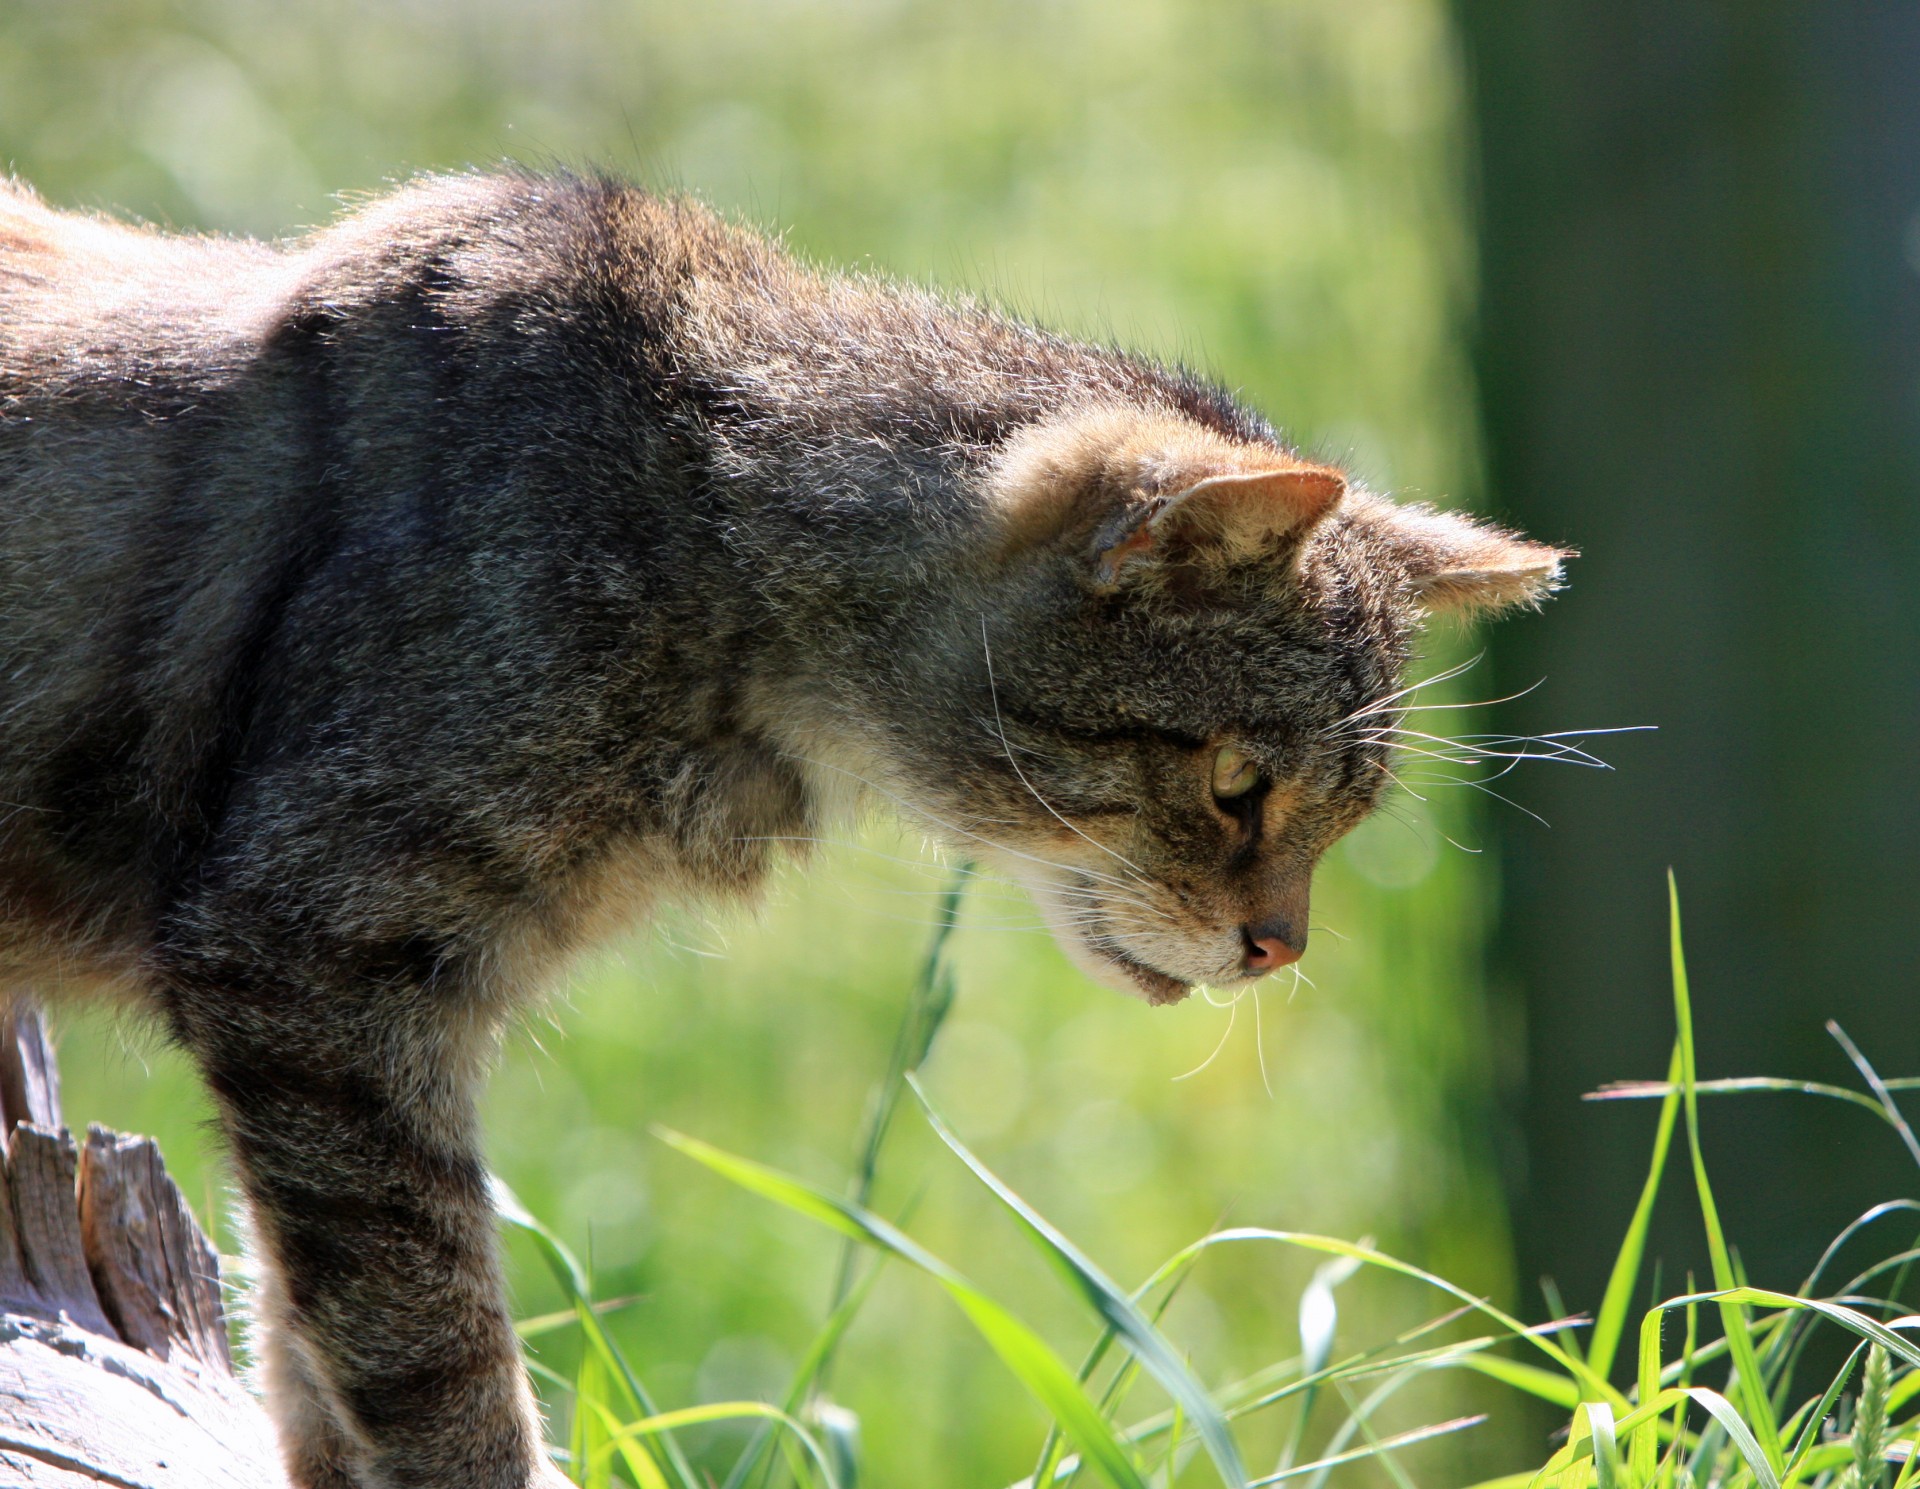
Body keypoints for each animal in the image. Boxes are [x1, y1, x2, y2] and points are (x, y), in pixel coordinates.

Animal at [0, 171, 1559, 1489]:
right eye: (1239, 785)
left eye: (1347, 818)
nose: (1281, 946)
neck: (701, 523)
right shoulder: (310, 962)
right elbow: (426, 1348)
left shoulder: (352, 1030)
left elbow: (313, 1345)